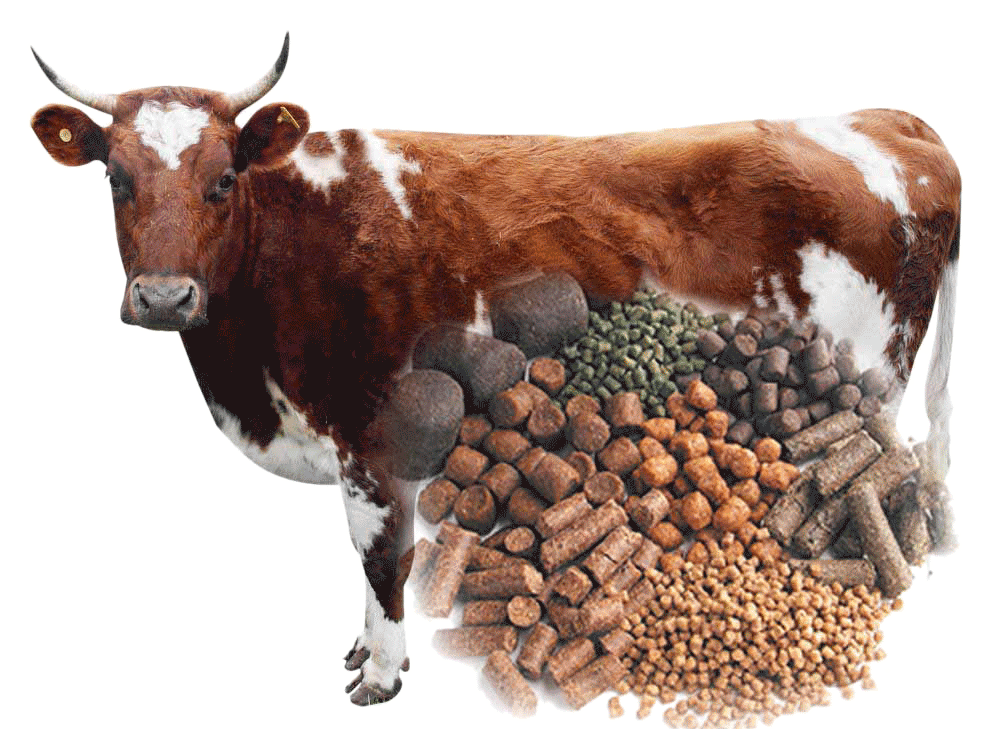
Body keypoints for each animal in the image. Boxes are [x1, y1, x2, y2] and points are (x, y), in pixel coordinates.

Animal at [30, 34, 959, 706]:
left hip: (872, 383)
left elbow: (382, 561)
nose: (163, 296)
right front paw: (364, 650)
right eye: (116, 179)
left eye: (223, 179)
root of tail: (889, 120)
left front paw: (382, 673)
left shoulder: (373, 446)